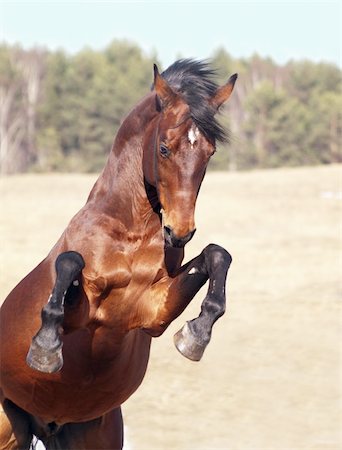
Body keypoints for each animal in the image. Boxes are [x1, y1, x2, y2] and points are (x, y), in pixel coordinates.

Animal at [0, 60, 236, 450]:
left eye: (210, 152)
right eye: (164, 149)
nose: (179, 232)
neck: (131, 235)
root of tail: (47, 424)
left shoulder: (153, 313)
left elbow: (218, 255)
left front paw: (195, 336)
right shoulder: (82, 314)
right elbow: (70, 263)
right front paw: (45, 348)